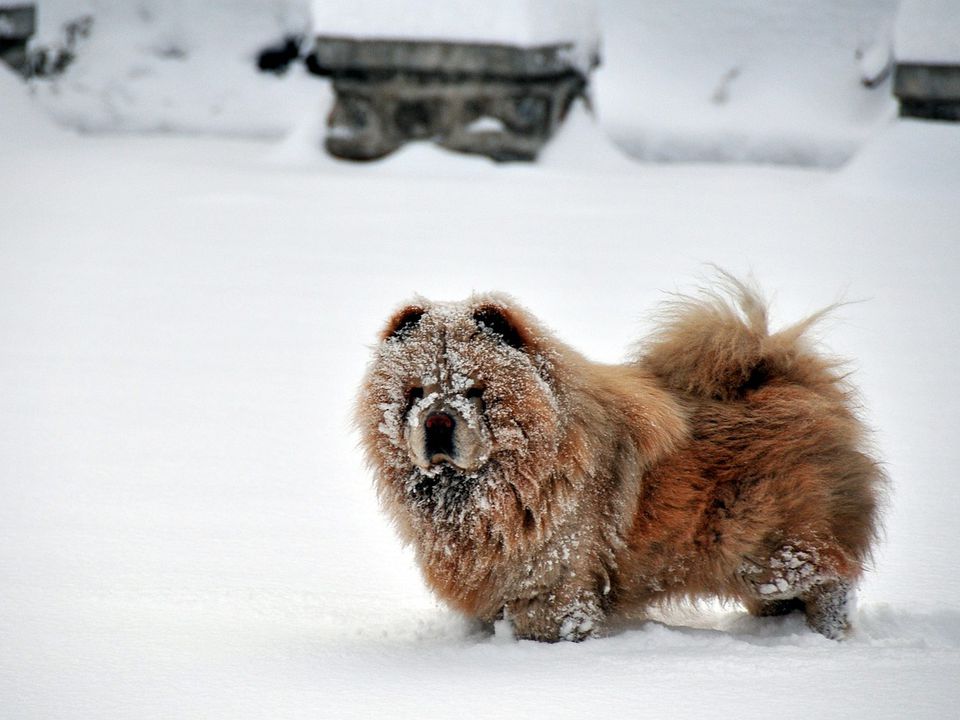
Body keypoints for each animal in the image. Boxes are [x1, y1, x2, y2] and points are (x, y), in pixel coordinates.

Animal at [358, 278, 884, 640]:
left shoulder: (553, 584)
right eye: (415, 394)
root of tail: (792, 381)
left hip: (769, 550)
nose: (437, 422)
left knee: (830, 579)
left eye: (473, 392)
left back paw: (825, 632)